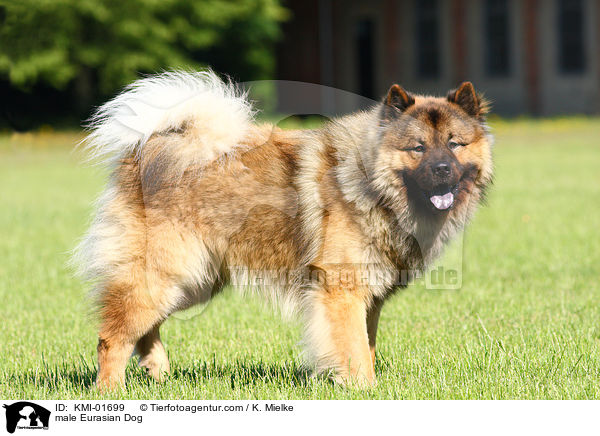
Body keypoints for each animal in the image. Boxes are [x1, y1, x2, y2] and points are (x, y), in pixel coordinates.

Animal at [75, 71, 492, 388]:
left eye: (454, 144)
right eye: (418, 148)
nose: (442, 169)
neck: (374, 186)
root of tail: (148, 148)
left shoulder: (368, 297)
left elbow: (366, 345)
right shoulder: (341, 290)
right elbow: (354, 349)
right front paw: (364, 389)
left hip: (195, 280)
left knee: (144, 327)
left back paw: (158, 373)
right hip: (169, 272)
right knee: (113, 336)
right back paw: (112, 390)